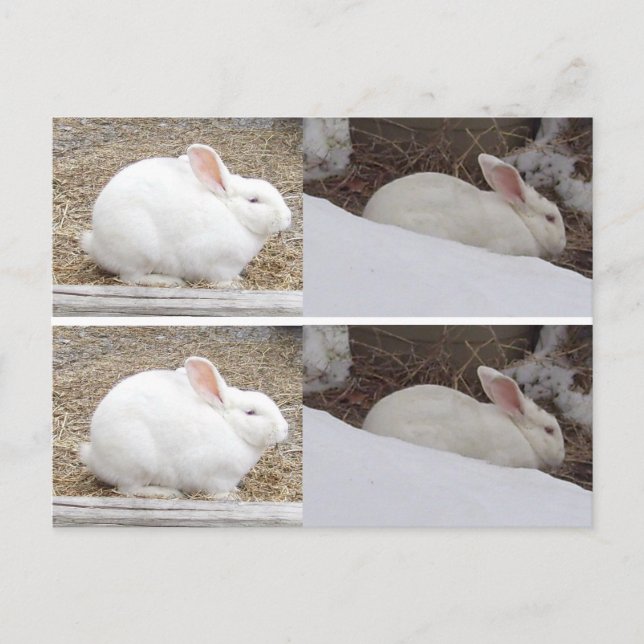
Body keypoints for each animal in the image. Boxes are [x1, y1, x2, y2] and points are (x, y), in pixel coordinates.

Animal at [79, 357, 289, 498]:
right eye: (251, 412)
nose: (284, 429)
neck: (232, 428)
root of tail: (94, 456)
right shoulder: (216, 478)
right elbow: (217, 492)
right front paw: (231, 496)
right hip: (139, 463)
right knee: (129, 489)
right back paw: (166, 493)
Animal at [81, 144, 292, 287]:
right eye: (254, 200)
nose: (287, 217)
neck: (233, 215)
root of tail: (96, 244)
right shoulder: (218, 265)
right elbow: (220, 279)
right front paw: (234, 284)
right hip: (142, 251)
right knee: (131, 278)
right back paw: (169, 281)